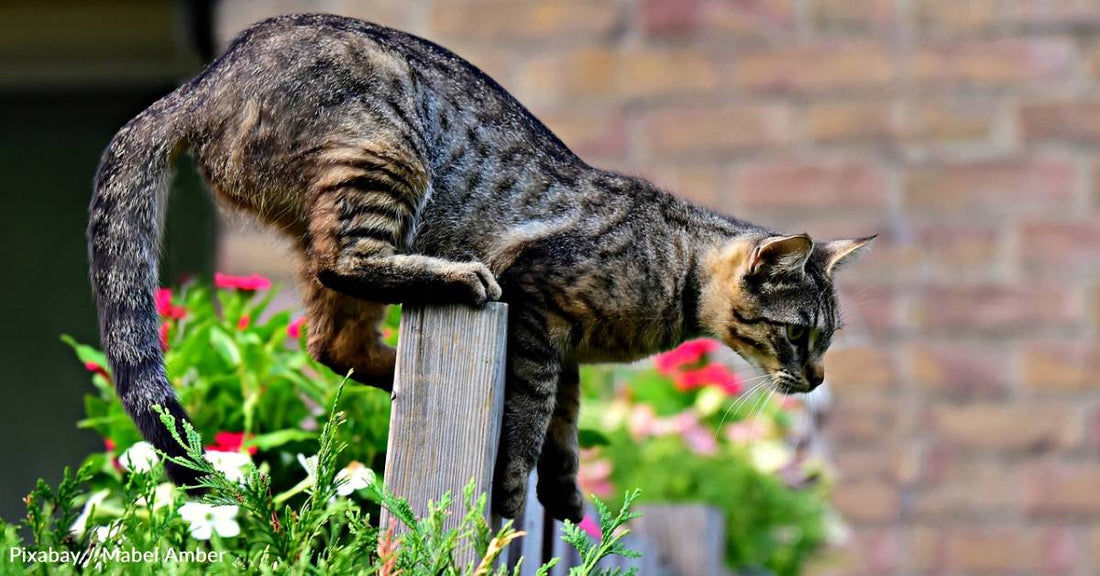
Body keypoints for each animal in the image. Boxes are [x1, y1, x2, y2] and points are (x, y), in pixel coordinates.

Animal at [88, 15, 875, 523]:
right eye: (800, 335)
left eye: (826, 341)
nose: (816, 379)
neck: (673, 270)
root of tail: (200, 82)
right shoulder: (538, 310)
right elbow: (529, 422)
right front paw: (511, 494)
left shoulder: (565, 350)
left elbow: (565, 425)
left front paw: (565, 494)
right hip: (383, 155)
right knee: (348, 266)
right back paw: (457, 280)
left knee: (331, 341)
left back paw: (396, 371)